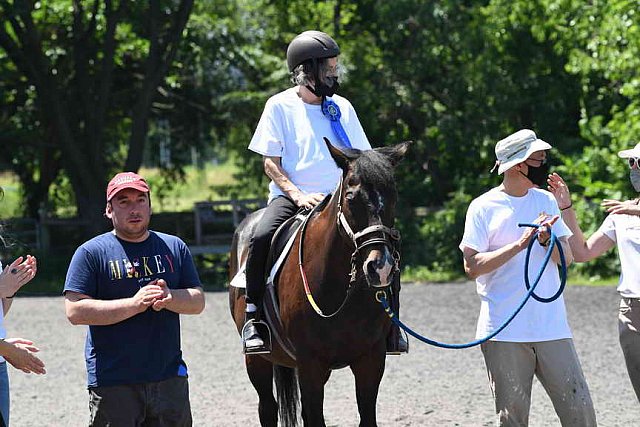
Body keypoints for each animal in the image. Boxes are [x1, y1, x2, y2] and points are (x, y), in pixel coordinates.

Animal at [230, 140, 410, 427]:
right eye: (350, 196)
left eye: (393, 195)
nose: (380, 267)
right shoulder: (311, 366)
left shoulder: (371, 361)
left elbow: (366, 415)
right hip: (257, 361)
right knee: (267, 407)